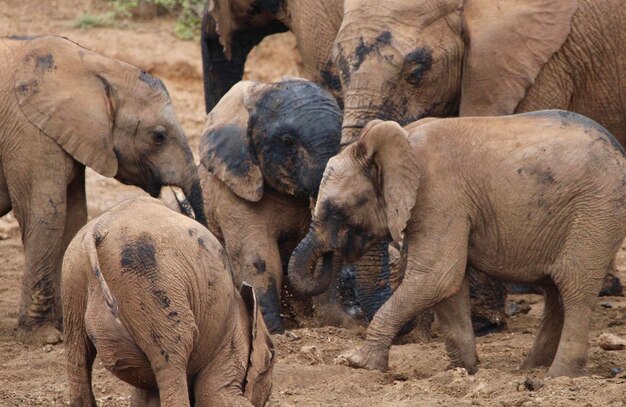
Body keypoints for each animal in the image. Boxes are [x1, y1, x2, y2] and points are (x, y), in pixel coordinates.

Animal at [0, 36, 207, 346]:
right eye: (158, 136)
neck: (96, 66)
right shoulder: (29, 131)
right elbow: (48, 214)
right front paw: (44, 337)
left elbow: (74, 217)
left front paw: (66, 324)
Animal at [61, 197, 272, 404]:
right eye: (272, 357)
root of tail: (98, 229)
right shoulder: (228, 341)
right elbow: (217, 395)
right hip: (152, 282)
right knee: (173, 358)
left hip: (72, 276)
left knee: (77, 353)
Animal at [288, 110, 626, 378]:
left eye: (335, 209)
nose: (331, 254)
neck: (399, 140)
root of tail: (618, 149)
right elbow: (448, 286)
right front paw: (461, 371)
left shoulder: (439, 195)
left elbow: (437, 277)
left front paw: (357, 363)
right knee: (556, 291)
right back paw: (529, 370)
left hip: (595, 212)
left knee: (574, 287)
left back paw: (558, 377)